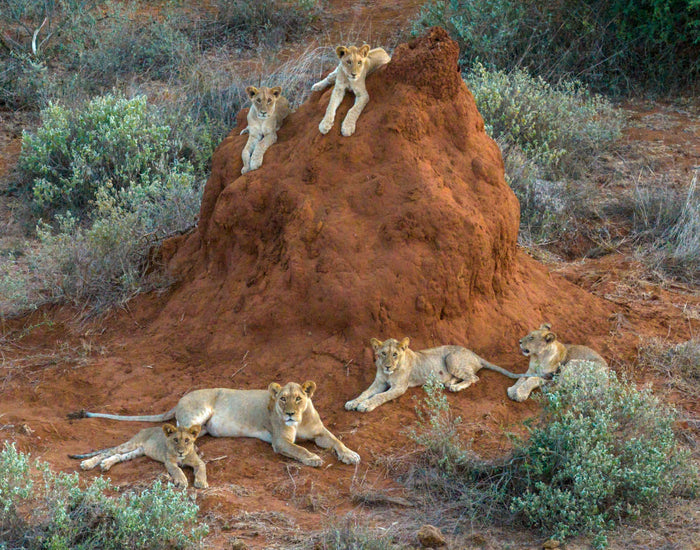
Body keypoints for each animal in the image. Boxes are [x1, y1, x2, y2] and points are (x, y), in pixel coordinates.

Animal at [69, 424, 207, 489]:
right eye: (175, 440)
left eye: (187, 440)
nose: (181, 452)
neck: (182, 457)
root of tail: (143, 430)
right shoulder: (169, 462)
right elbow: (177, 470)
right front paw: (182, 481)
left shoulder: (198, 462)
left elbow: (201, 469)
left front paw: (201, 482)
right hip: (131, 445)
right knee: (107, 453)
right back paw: (88, 464)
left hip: (137, 451)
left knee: (119, 456)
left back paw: (106, 464)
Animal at [70, 381, 359, 468]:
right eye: (282, 399)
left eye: (299, 399)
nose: (288, 413)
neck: (299, 421)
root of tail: (180, 398)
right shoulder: (280, 441)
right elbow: (299, 449)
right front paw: (313, 458)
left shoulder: (319, 431)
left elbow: (336, 440)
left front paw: (350, 455)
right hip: (198, 414)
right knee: (177, 435)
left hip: (203, 427)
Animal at [345, 337, 537, 412]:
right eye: (383, 353)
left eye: (395, 355)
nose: (387, 366)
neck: (389, 373)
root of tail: (475, 355)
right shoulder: (379, 382)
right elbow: (365, 392)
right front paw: (353, 402)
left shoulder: (399, 387)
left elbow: (380, 397)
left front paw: (365, 405)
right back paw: (449, 383)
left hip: (451, 357)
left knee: (474, 377)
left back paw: (456, 387)